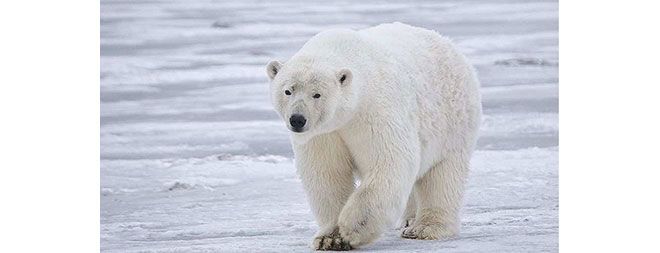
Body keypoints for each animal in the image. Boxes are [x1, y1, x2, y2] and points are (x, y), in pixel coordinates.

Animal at [266, 22, 482, 251]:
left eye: (317, 94)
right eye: (288, 91)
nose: (297, 119)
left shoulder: (374, 110)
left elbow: (390, 161)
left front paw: (351, 228)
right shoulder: (324, 133)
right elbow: (327, 173)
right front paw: (329, 238)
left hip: (453, 122)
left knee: (442, 176)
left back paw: (425, 228)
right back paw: (409, 220)